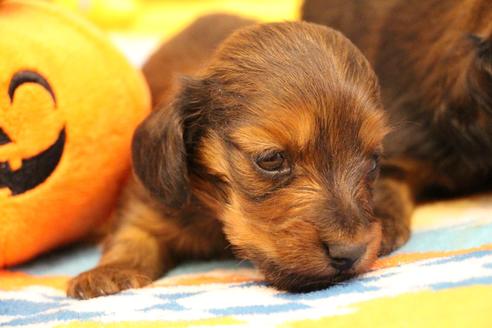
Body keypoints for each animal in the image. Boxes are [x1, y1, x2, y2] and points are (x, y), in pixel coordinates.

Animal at [66, 14, 388, 298]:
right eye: (271, 159)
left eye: (373, 161)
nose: (351, 252)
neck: (214, 214)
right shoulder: (148, 202)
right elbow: (132, 236)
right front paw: (110, 272)